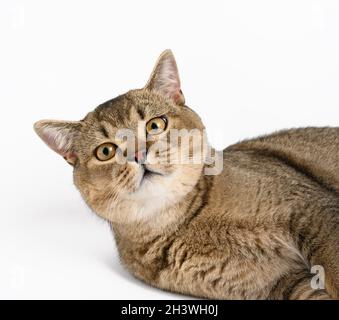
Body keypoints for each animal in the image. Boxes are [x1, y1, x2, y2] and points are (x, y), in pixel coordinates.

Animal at [33, 50, 339, 300]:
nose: (138, 154)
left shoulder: (310, 209)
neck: (188, 221)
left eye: (155, 125)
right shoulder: (284, 282)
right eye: (106, 151)